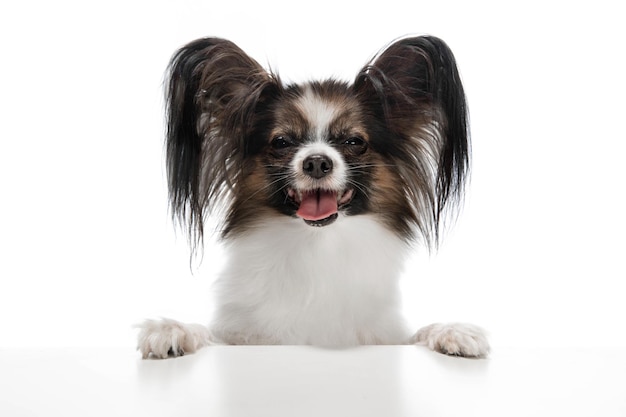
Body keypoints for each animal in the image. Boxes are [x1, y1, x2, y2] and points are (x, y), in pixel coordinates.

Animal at [135, 35, 488, 358]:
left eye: (354, 142)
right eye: (281, 142)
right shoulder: (245, 335)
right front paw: (174, 330)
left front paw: (451, 331)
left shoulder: (383, 335)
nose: (317, 162)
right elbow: (211, 335)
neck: (318, 245)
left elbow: (416, 335)